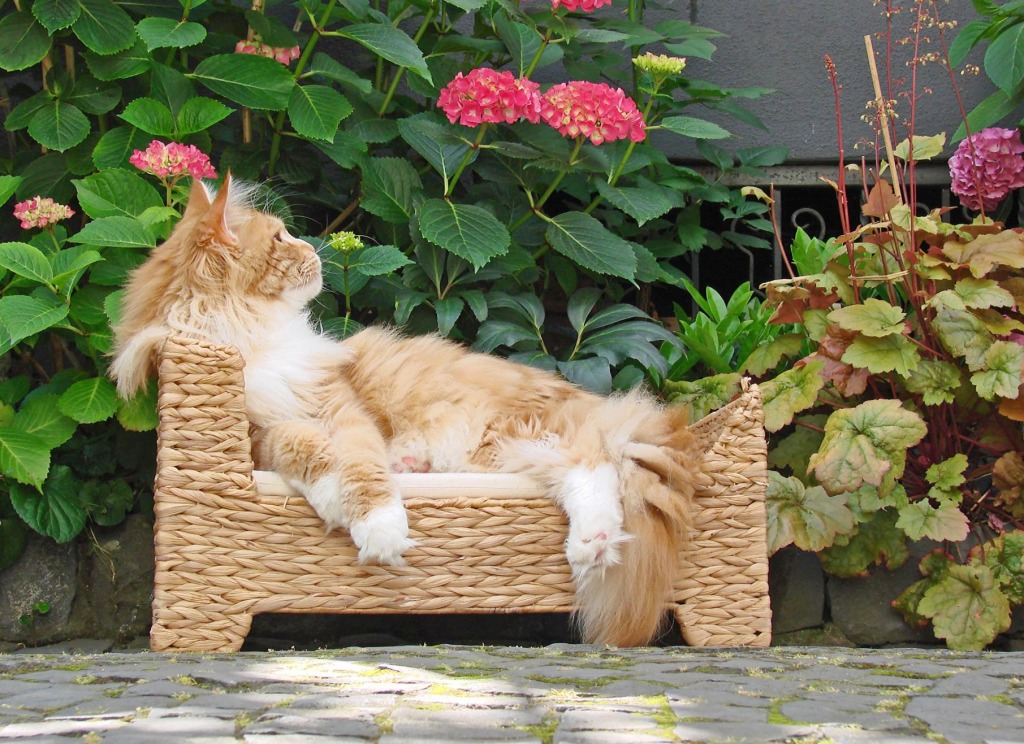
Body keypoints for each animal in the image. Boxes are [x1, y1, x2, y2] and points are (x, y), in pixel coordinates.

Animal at [112, 176, 700, 646]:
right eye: (280, 239)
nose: (318, 251)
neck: (249, 334)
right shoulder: (260, 435)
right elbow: (306, 451)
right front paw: (335, 499)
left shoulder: (342, 408)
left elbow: (361, 466)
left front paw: (378, 527)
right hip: (507, 452)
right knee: (588, 471)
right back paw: (587, 541)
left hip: (516, 433)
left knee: (595, 464)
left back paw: (590, 543)